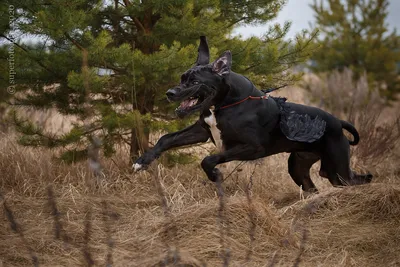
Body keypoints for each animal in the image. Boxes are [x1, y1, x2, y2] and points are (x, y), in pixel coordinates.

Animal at [134, 36, 372, 192]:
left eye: (194, 82)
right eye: (182, 78)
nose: (170, 93)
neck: (225, 103)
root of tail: (338, 122)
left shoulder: (252, 147)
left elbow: (209, 159)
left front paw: (215, 176)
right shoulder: (202, 130)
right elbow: (166, 139)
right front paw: (142, 161)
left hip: (337, 170)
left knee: (360, 179)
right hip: (299, 166)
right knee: (313, 186)